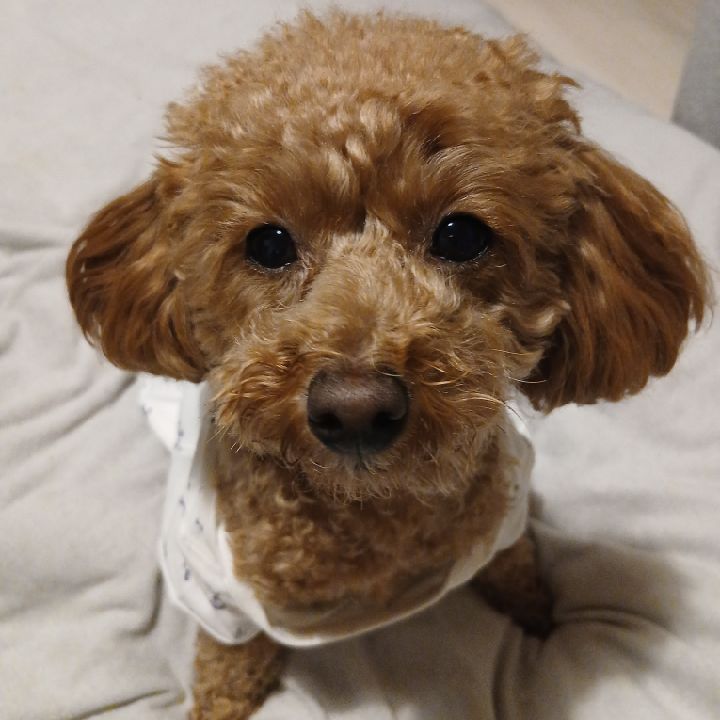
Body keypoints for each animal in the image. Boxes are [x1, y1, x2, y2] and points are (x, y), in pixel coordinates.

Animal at [66, 10, 709, 718]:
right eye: (268, 243)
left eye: (461, 235)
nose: (355, 410)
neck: (368, 509)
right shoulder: (217, 596)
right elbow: (227, 661)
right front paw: (220, 703)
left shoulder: (505, 516)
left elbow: (514, 562)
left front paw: (535, 608)